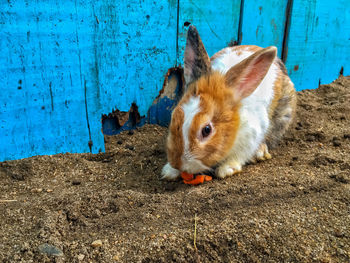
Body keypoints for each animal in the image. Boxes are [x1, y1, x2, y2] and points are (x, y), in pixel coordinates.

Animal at [161, 24, 296, 180]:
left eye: (206, 130)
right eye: (173, 117)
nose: (179, 164)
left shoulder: (251, 135)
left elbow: (239, 156)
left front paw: (227, 169)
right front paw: (169, 171)